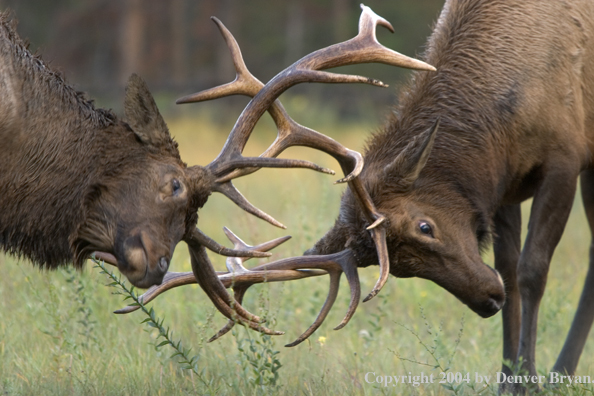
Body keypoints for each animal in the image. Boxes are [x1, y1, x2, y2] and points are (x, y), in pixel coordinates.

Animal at [118, 0, 592, 390]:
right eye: (401, 269)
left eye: (425, 225)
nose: (488, 298)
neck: (502, 123)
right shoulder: (502, 186)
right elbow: (510, 266)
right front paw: (510, 380)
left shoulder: (564, 158)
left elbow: (531, 272)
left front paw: (532, 381)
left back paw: (562, 372)